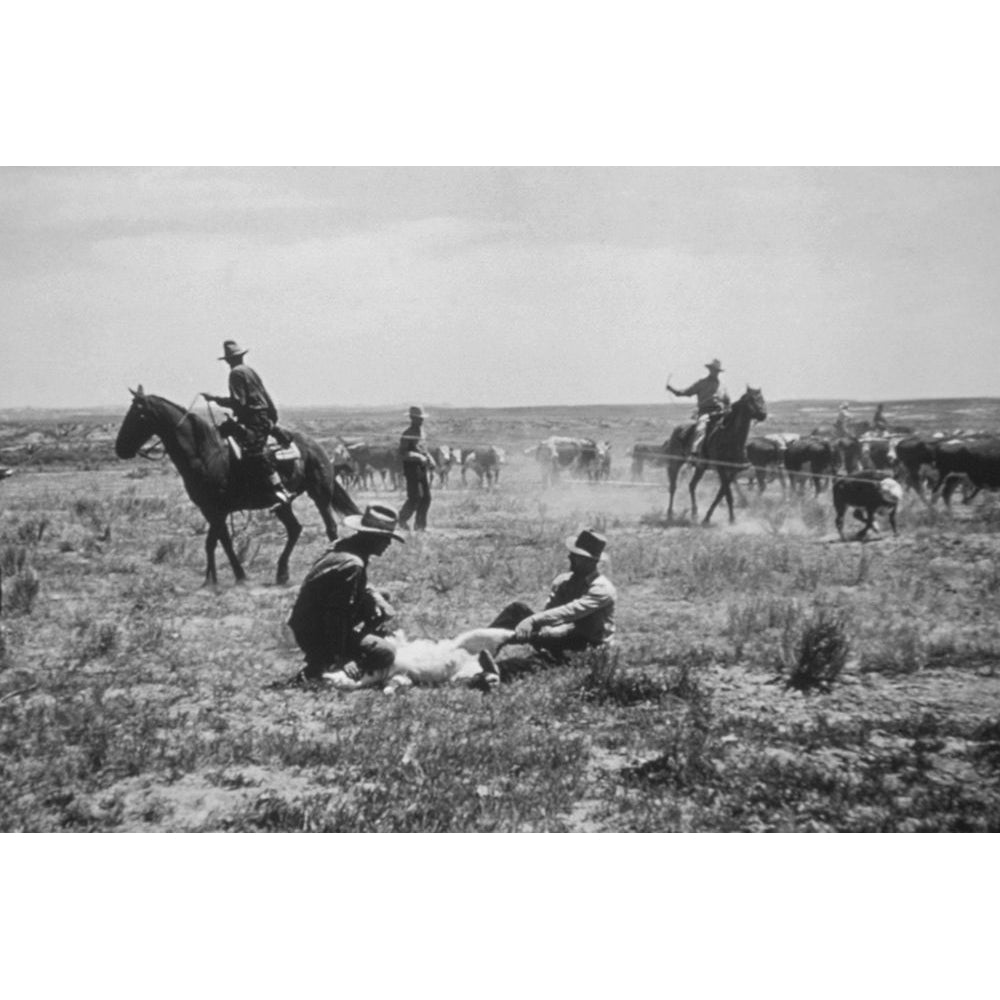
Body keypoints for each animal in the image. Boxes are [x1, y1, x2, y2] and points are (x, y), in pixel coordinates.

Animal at [115, 384, 362, 584]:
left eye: (138, 414)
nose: (120, 448)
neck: (207, 456)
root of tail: (317, 447)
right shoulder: (210, 511)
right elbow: (223, 541)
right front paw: (238, 575)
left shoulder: (217, 510)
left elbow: (211, 542)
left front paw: (210, 580)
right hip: (282, 504)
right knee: (294, 529)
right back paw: (282, 573)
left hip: (320, 493)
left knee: (330, 527)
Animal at [324, 624, 516, 696]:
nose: (324, 677)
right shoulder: (400, 676)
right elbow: (395, 684)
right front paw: (390, 690)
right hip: (459, 677)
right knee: (486, 674)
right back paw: (488, 670)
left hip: (472, 638)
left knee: (501, 634)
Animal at [668, 384, 768, 524]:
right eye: (751, 400)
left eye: (762, 399)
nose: (763, 414)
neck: (731, 439)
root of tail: (678, 429)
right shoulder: (721, 468)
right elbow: (727, 494)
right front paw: (732, 519)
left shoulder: (732, 471)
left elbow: (721, 494)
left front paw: (707, 517)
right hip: (675, 462)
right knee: (673, 486)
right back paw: (670, 513)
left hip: (700, 467)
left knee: (692, 485)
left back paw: (694, 513)